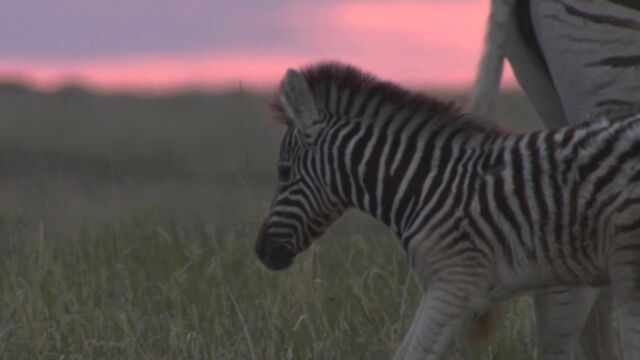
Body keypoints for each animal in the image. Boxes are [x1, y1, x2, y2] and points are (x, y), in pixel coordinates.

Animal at [258, 62, 640, 360]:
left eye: (284, 173)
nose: (261, 252)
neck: (424, 188)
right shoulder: (443, 287)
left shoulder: (454, 285)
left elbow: (411, 355)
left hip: (626, 262)